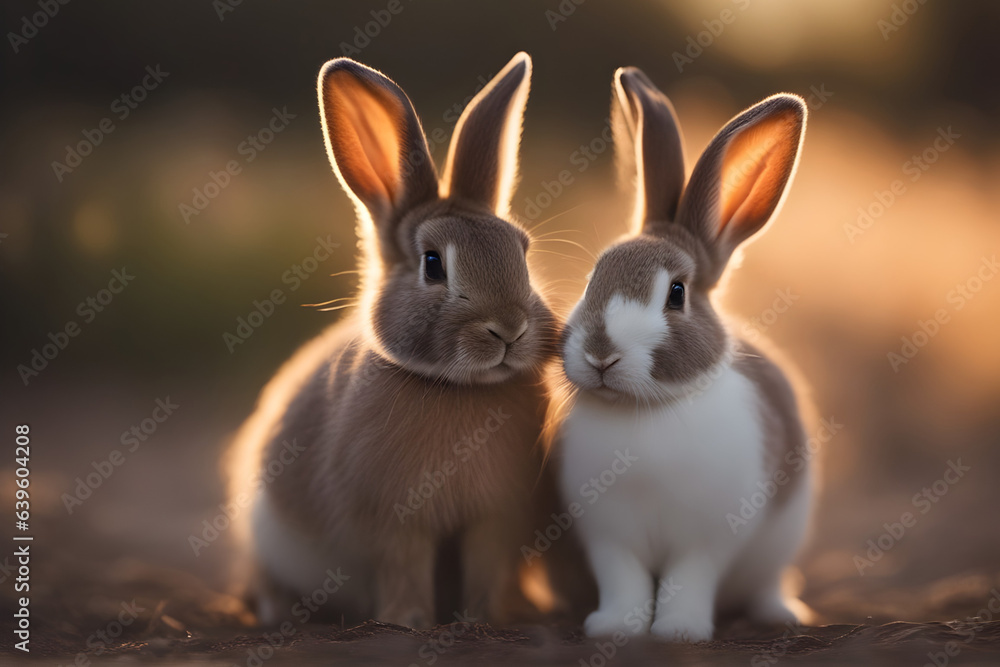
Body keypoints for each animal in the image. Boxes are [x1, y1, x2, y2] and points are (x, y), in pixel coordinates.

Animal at [226, 52, 559, 630]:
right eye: (433, 264)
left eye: (523, 250)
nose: (510, 329)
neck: (457, 390)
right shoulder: (394, 521)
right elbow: (404, 568)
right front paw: (408, 621)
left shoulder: (495, 518)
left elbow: (486, 567)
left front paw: (484, 620)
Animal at [556, 67, 812, 642]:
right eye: (591, 280)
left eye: (676, 293)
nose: (602, 355)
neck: (646, 410)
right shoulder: (609, 539)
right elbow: (624, 581)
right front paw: (614, 628)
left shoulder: (706, 542)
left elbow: (686, 580)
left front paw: (679, 631)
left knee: (767, 584)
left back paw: (782, 614)